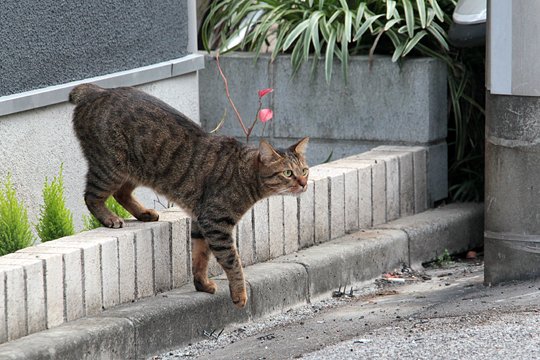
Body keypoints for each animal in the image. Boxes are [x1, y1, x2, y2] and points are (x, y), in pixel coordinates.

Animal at [69, 83, 310, 306]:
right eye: (288, 173)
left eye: (305, 170)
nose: (304, 183)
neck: (244, 174)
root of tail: (98, 90)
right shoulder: (216, 224)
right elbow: (232, 261)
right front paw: (240, 294)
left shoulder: (201, 221)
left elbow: (200, 256)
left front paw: (202, 284)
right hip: (110, 167)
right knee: (91, 196)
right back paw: (110, 218)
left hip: (132, 171)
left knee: (120, 194)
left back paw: (144, 213)